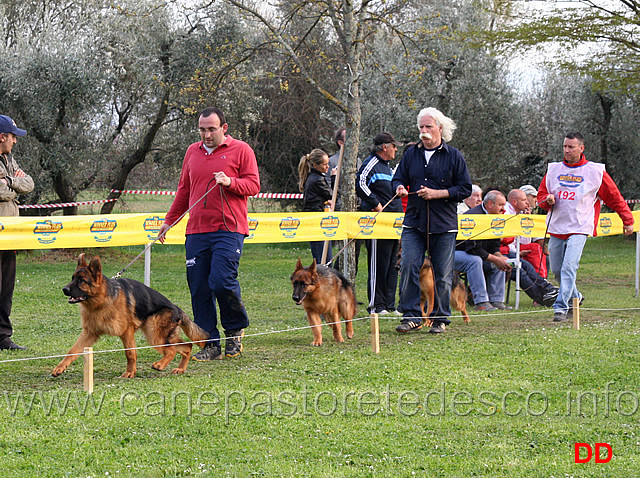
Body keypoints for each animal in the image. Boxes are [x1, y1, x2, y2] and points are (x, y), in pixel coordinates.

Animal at [53, 254, 208, 378]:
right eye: (72, 278)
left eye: (81, 280)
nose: (64, 289)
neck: (101, 300)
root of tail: (176, 308)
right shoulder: (90, 333)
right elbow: (72, 351)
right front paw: (60, 368)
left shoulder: (126, 332)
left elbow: (130, 353)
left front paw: (130, 373)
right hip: (161, 335)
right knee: (186, 346)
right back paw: (180, 369)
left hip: (154, 334)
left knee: (171, 350)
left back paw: (160, 365)